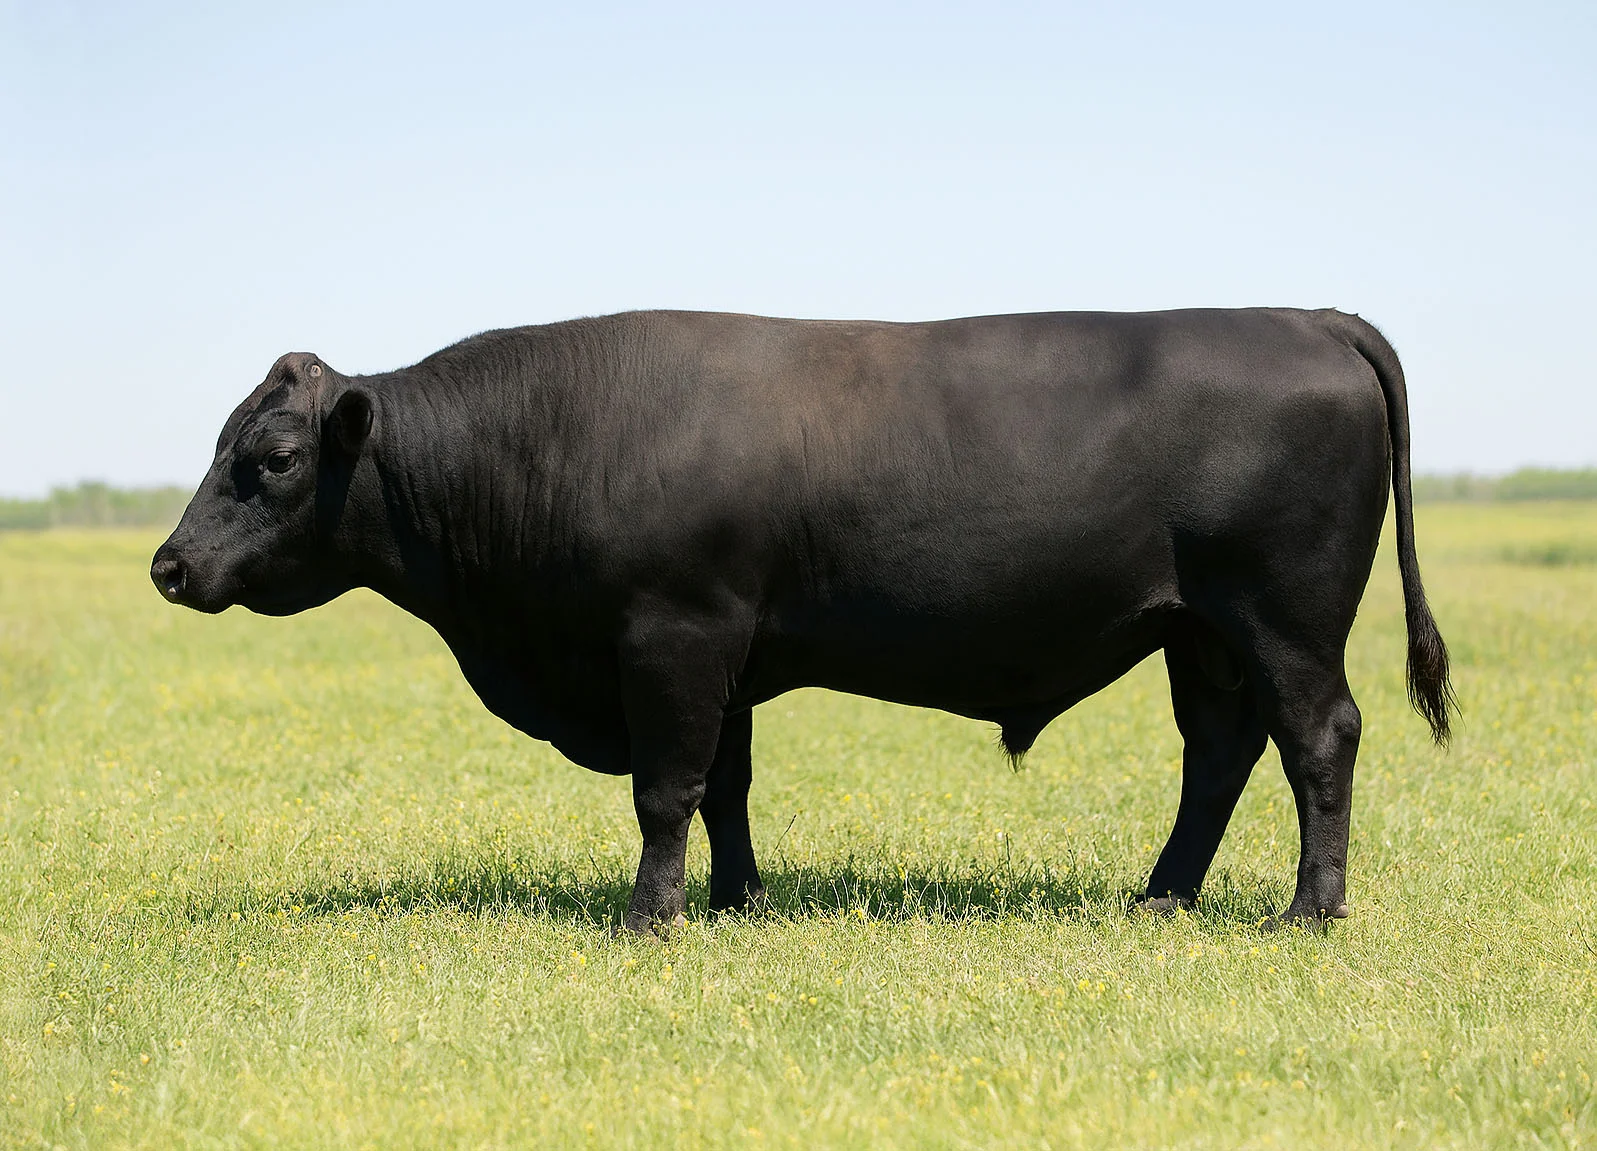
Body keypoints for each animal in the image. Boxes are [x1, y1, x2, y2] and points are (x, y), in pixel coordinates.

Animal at [151, 307, 1454, 935]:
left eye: (271, 457)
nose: (167, 563)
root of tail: (1297, 313)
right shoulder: (718, 651)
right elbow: (724, 784)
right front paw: (736, 899)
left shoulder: (671, 634)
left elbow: (664, 787)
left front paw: (648, 919)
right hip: (1200, 632)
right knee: (1219, 753)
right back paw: (1162, 895)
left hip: (1282, 617)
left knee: (1318, 737)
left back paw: (1307, 910)